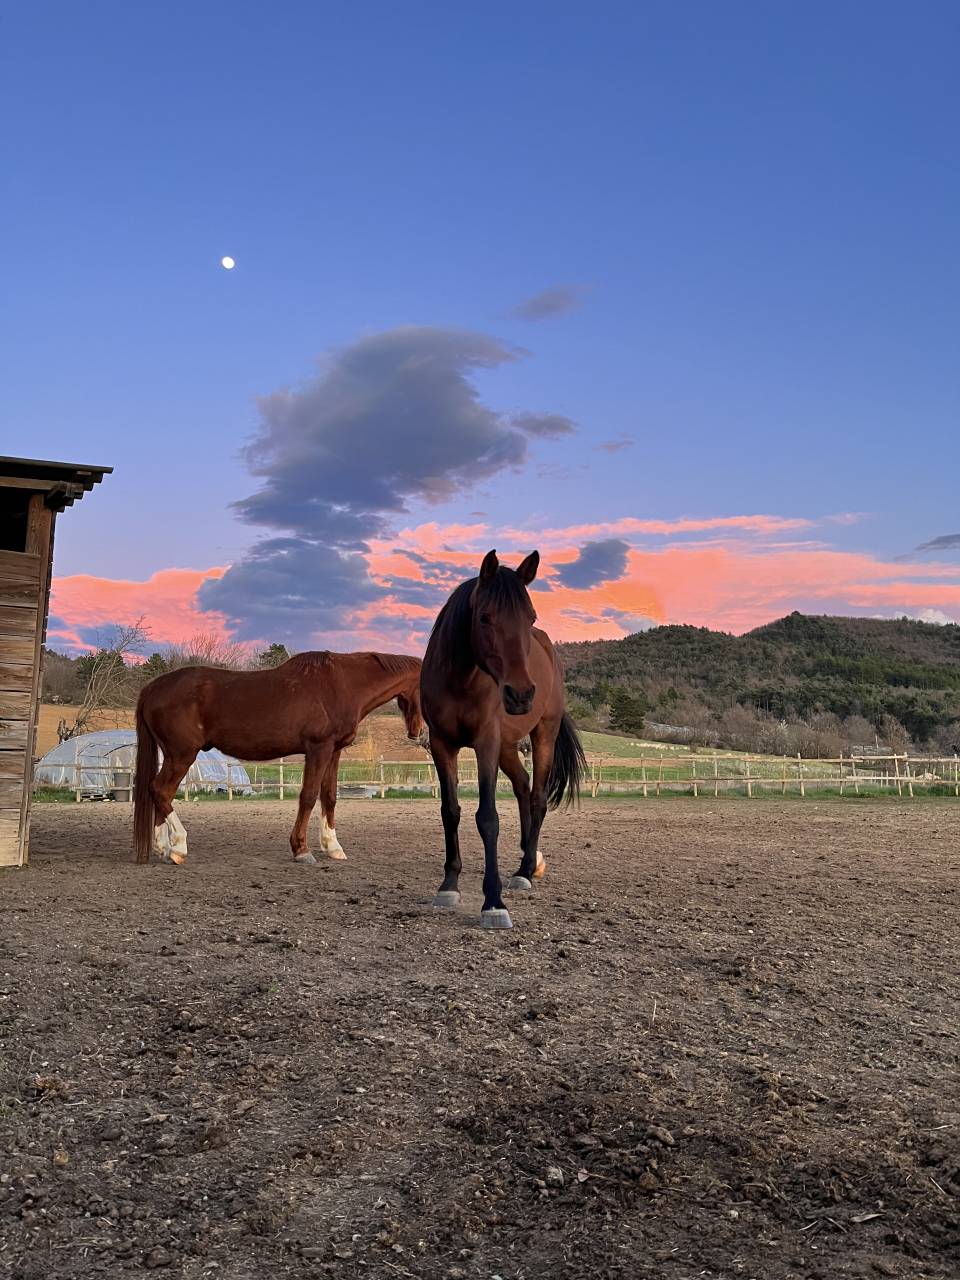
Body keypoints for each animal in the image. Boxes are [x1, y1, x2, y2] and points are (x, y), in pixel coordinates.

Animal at [133, 651, 424, 866]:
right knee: (162, 790)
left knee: (159, 792)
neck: (342, 684)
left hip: (173, 755)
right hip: (182, 754)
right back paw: (178, 847)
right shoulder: (318, 749)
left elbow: (329, 796)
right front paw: (302, 850)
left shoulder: (333, 751)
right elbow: (309, 796)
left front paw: (333, 847)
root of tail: (153, 688)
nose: (419, 732)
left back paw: (163, 847)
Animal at [420, 549, 585, 929]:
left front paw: (493, 901)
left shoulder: (486, 744)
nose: (521, 694)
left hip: (542, 735)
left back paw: (525, 870)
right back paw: (530, 860)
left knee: (537, 797)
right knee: (524, 787)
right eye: (484, 617)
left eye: (530, 616)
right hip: (509, 747)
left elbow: (488, 818)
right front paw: (449, 884)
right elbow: (450, 811)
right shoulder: (442, 744)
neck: (460, 681)